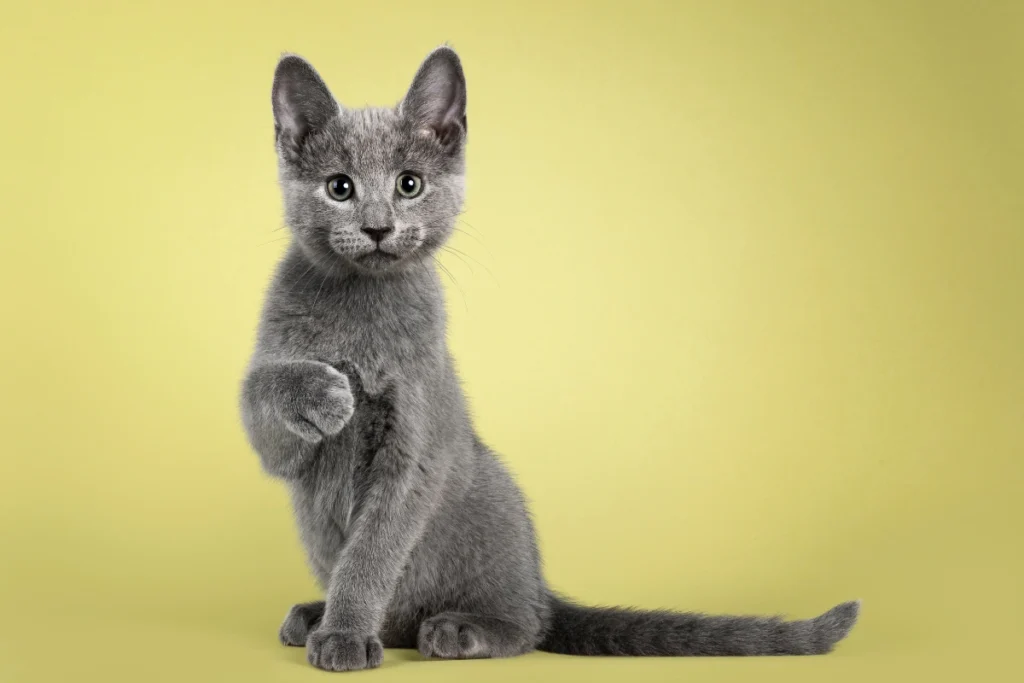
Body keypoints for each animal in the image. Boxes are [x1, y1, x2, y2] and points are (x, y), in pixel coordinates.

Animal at [239, 46, 856, 671]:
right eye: (339, 187)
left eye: (409, 185)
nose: (378, 226)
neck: (362, 302)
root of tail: (541, 584)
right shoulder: (284, 443)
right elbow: (261, 390)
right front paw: (325, 390)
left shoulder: (414, 444)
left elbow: (371, 553)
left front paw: (345, 635)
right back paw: (317, 614)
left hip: (494, 499)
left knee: (527, 626)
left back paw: (458, 629)